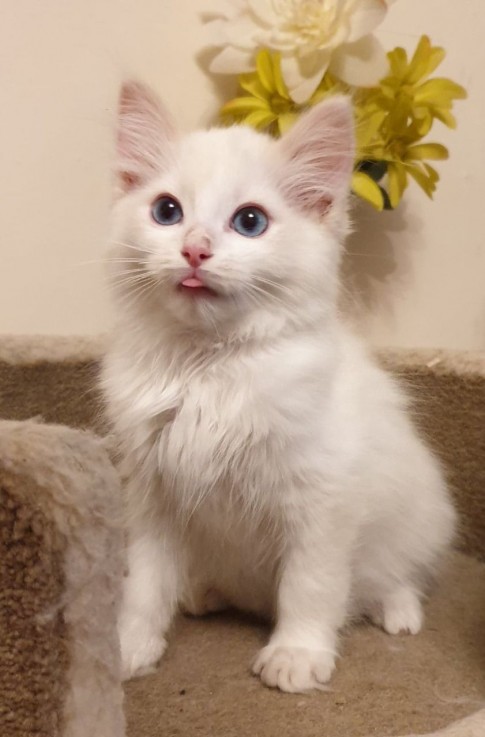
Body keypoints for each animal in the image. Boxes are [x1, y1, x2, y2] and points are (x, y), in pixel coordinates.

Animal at [101, 83, 454, 692]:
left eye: (250, 222)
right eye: (167, 212)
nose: (194, 248)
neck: (210, 368)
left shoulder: (323, 496)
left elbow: (310, 584)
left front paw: (297, 655)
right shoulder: (151, 493)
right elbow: (144, 583)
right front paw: (130, 648)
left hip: (417, 515)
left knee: (395, 575)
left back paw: (398, 612)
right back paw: (202, 594)